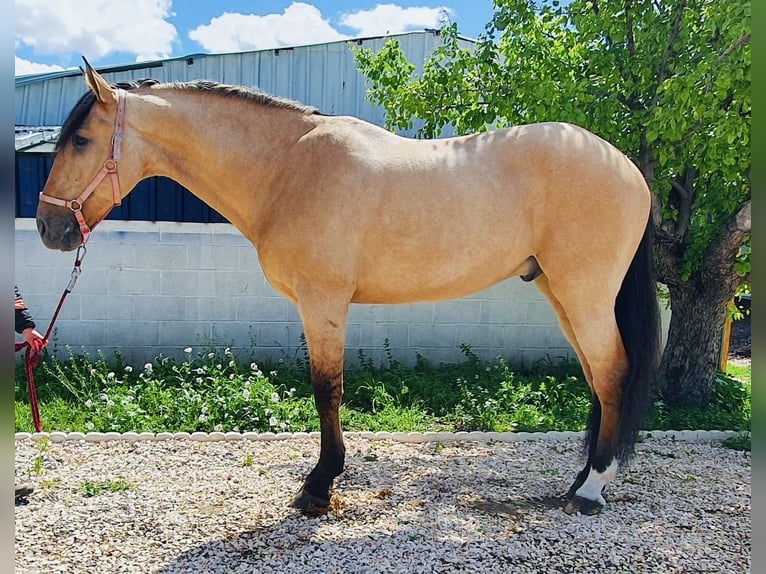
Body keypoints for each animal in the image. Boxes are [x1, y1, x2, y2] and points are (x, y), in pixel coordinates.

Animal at [34, 59, 660, 516]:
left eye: (82, 141)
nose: (48, 227)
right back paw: (580, 480)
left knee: (612, 374)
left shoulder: (323, 302)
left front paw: (319, 485)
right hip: (559, 293)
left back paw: (591, 491)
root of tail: (627, 167)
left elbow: (326, 390)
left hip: (583, 294)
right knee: (598, 379)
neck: (287, 167)